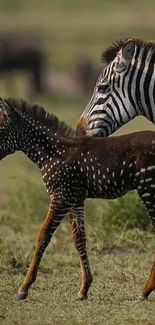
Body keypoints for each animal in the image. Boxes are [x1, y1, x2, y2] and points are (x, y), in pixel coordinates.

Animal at [0, 97, 155, 300]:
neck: (51, 152)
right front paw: (84, 288)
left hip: (148, 188)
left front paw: (24, 288)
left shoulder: (61, 196)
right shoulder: (74, 198)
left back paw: (145, 290)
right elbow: (78, 238)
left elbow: (43, 235)